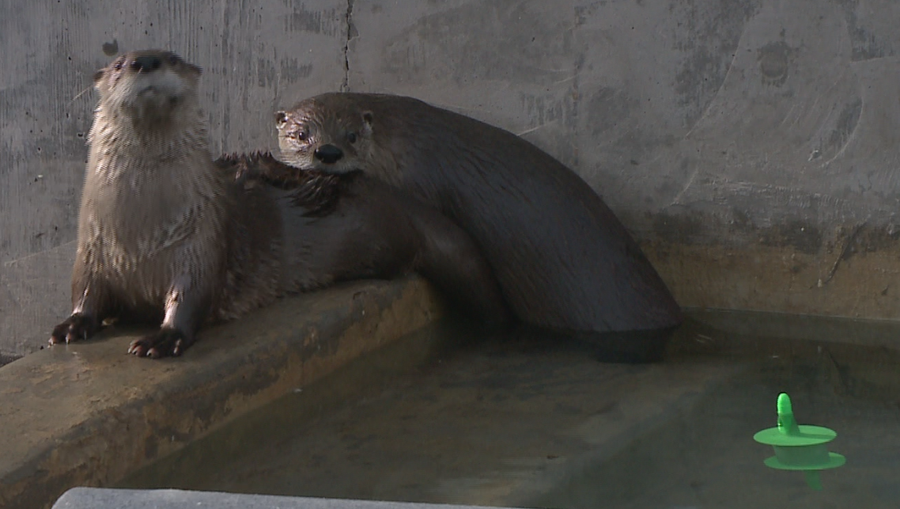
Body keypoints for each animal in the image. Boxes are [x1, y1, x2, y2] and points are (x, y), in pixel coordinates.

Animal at [51, 52, 506, 358]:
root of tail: (397, 197)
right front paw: (73, 324)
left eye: (172, 59)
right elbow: (84, 290)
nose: (145, 61)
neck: (140, 230)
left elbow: (191, 296)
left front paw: (162, 338)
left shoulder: (200, 245)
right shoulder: (91, 248)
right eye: (119, 64)